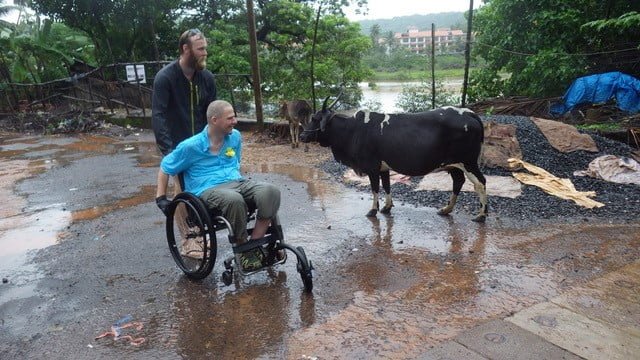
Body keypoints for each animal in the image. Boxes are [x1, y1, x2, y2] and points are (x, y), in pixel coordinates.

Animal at [298, 98, 488, 222]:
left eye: (315, 119)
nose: (301, 136)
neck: (352, 130)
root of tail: (469, 113)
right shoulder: (383, 167)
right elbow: (387, 186)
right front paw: (387, 207)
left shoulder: (372, 167)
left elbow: (375, 188)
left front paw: (373, 210)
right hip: (455, 165)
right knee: (458, 182)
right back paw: (447, 209)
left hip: (469, 162)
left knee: (480, 183)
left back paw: (481, 215)